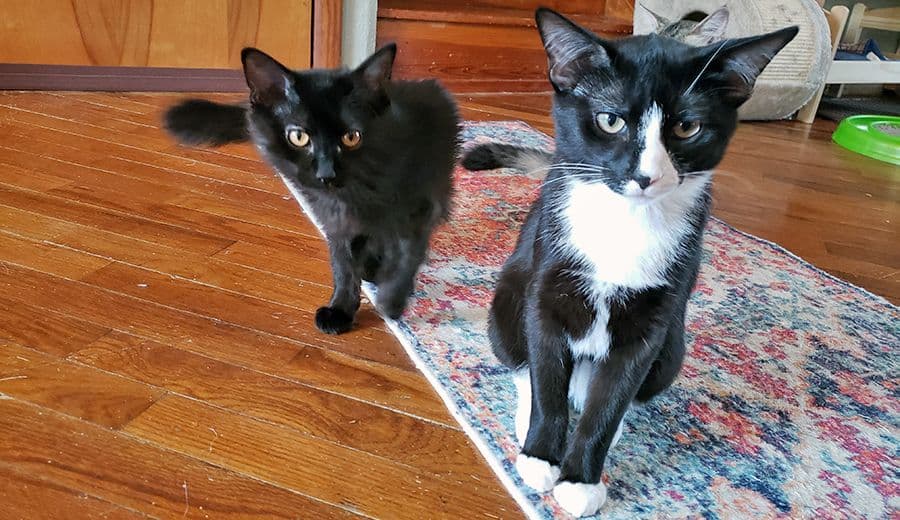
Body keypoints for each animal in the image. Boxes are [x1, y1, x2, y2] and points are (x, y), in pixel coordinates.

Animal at [163, 46, 458, 336]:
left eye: (352, 137)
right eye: (299, 137)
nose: (326, 173)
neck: (354, 193)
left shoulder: (420, 209)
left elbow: (407, 255)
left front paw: (392, 300)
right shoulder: (333, 219)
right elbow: (342, 264)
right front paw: (341, 309)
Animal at [468, 7, 800, 516]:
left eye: (686, 127)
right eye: (609, 121)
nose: (646, 176)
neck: (624, 222)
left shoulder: (654, 321)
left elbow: (611, 400)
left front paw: (581, 479)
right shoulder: (548, 287)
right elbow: (546, 377)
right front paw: (541, 456)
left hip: (674, 349)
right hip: (508, 296)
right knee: (522, 360)